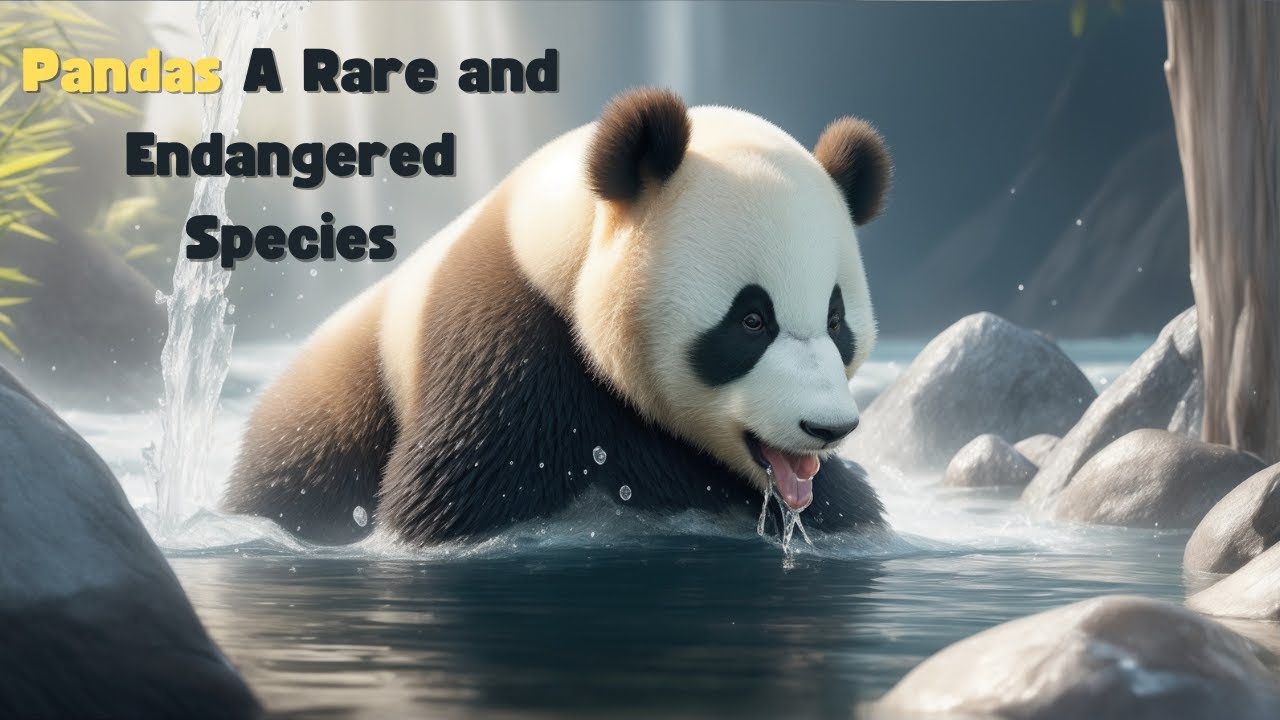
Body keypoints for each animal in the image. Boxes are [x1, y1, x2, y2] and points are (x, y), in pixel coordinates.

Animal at [224, 88, 892, 545]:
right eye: (752, 320)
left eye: (836, 320)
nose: (827, 427)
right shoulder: (507, 343)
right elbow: (455, 493)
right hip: (344, 407)